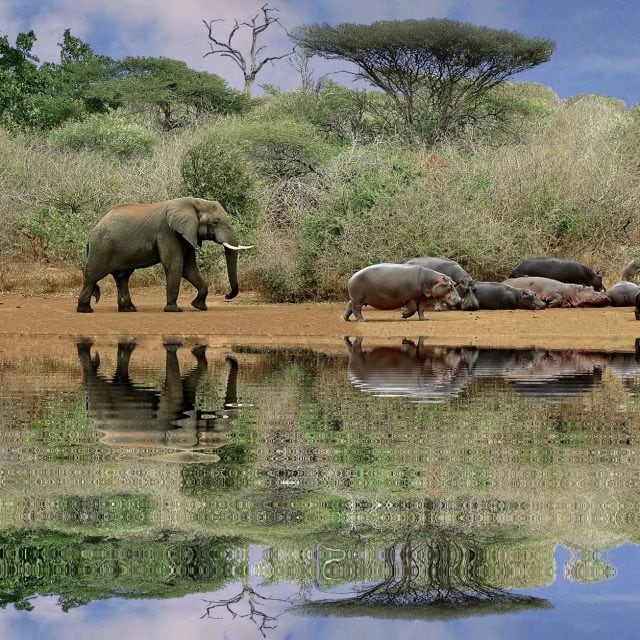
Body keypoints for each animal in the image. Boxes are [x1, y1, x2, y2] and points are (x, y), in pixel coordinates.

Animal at [76, 197, 253, 313]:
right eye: (215, 222)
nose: (227, 296)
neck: (195, 202)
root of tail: (93, 229)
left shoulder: (185, 234)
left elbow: (188, 268)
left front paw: (199, 307)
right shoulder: (168, 232)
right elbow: (175, 264)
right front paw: (174, 309)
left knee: (122, 277)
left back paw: (129, 309)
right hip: (102, 247)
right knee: (93, 276)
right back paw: (85, 310)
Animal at [76, 337, 240, 462]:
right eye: (212, 437)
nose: (228, 357)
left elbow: (189, 384)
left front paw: (198, 350)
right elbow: (176, 387)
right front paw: (179, 347)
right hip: (100, 402)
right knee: (94, 379)